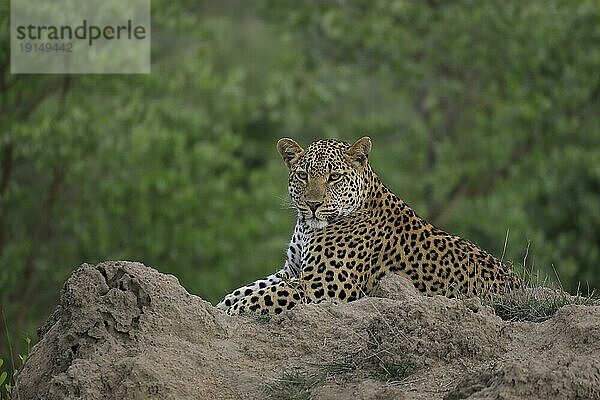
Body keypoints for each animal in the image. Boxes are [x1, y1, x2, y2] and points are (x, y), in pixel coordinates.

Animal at [216, 138, 520, 316]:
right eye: (303, 175)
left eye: (334, 177)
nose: (313, 204)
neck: (307, 227)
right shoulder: (291, 270)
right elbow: (246, 290)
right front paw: (220, 307)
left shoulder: (324, 284)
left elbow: (265, 296)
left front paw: (233, 313)